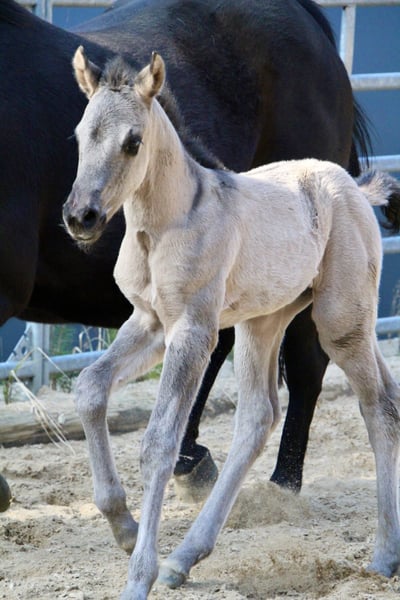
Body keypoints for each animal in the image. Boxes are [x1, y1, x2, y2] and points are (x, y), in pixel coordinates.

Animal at [0, 0, 369, 510]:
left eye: (133, 142)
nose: (80, 217)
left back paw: (281, 484)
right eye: (76, 136)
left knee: (306, 364)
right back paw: (193, 460)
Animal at [63, 48, 400, 599]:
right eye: (79, 136)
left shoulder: (193, 332)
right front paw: (123, 526)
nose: (81, 218)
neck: (167, 223)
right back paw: (184, 558)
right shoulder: (150, 322)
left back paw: (385, 555)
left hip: (341, 319)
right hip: (265, 321)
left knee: (379, 407)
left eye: (133, 142)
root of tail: (351, 185)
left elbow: (159, 443)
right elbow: (90, 388)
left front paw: (138, 575)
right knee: (259, 416)